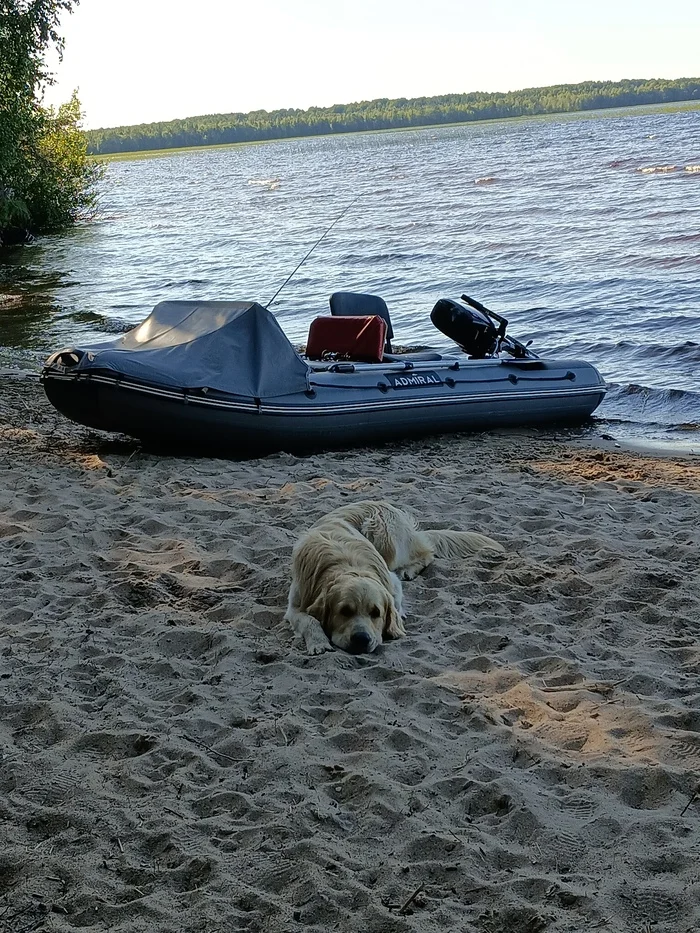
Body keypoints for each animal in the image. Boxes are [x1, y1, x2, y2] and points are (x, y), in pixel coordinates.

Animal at [284, 502, 504, 656]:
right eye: (344, 611)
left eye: (376, 613)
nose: (362, 639)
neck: (347, 565)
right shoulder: (295, 605)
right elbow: (309, 620)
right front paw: (318, 642)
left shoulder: (391, 581)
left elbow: (396, 600)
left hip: (382, 533)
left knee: (427, 553)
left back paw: (409, 570)